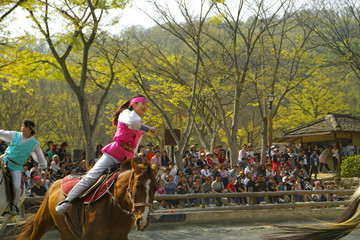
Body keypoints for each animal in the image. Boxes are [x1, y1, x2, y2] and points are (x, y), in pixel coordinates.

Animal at [15, 158, 158, 240]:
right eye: (138, 186)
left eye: (155, 188)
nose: (143, 221)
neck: (113, 207)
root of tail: (54, 183)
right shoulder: (89, 236)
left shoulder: (120, 237)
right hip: (41, 223)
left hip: (67, 233)